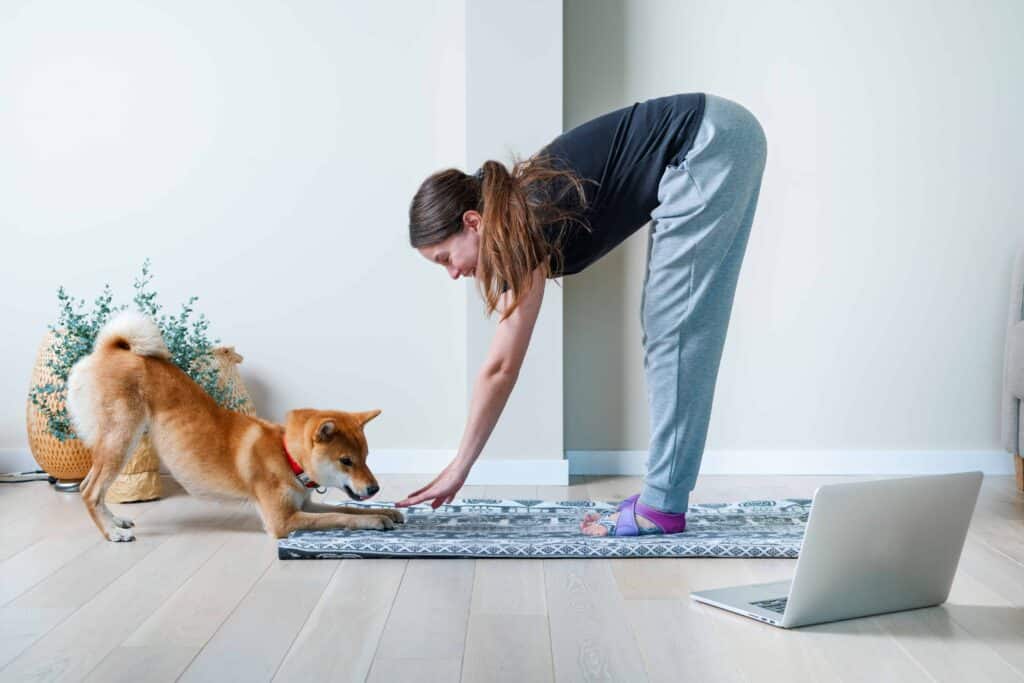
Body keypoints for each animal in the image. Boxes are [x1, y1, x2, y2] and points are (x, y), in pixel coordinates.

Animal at [66, 309, 401, 540]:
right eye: (346, 461)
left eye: (366, 457)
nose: (375, 487)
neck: (286, 457)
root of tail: (111, 348)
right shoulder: (283, 520)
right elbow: (340, 517)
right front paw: (374, 520)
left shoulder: (303, 505)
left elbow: (344, 507)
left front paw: (387, 510)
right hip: (122, 439)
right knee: (90, 490)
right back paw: (112, 533)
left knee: (87, 486)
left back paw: (116, 521)